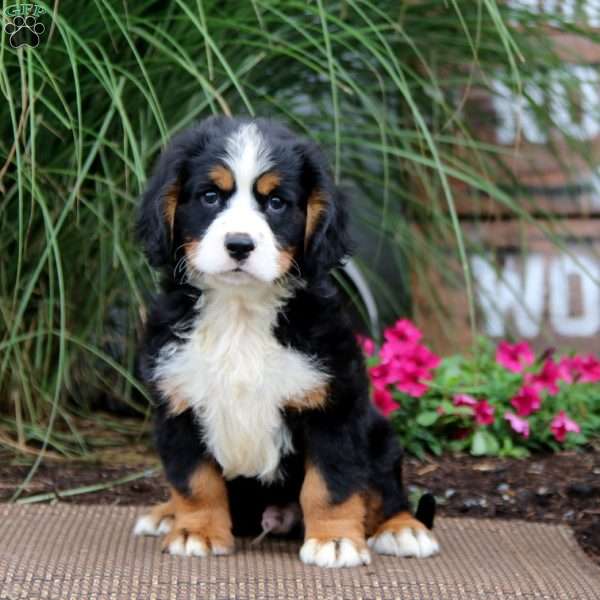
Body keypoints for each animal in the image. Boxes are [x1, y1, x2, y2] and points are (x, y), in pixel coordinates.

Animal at [132, 116, 440, 568]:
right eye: (210, 196)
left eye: (276, 203)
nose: (239, 244)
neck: (241, 313)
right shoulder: (178, 403)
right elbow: (194, 481)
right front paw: (196, 532)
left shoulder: (333, 405)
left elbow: (332, 483)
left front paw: (334, 539)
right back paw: (165, 514)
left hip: (380, 433)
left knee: (387, 491)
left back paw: (403, 529)